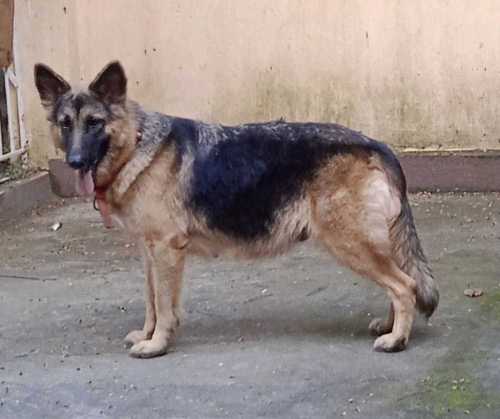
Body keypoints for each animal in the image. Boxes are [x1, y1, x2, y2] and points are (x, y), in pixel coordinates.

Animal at [34, 61, 438, 358]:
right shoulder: (149, 251)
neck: (135, 144)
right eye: (65, 124)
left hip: (350, 243)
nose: (74, 162)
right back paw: (391, 326)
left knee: (404, 285)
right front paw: (149, 335)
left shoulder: (166, 249)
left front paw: (158, 344)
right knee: (403, 281)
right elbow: (152, 301)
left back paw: (397, 340)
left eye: (95, 123)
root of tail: (377, 146)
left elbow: (163, 304)